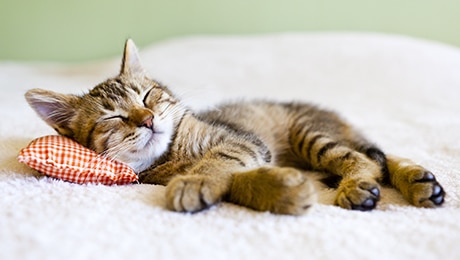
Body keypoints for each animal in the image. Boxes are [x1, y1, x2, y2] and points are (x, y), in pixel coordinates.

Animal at [24, 38, 446, 213]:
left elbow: (219, 161)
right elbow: (237, 181)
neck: (173, 153)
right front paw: (280, 191)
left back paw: (363, 185)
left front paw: (195, 181)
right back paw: (420, 183)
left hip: (310, 134)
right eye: (113, 116)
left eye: (147, 97)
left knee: (369, 158)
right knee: (376, 156)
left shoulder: (241, 140)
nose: (147, 120)